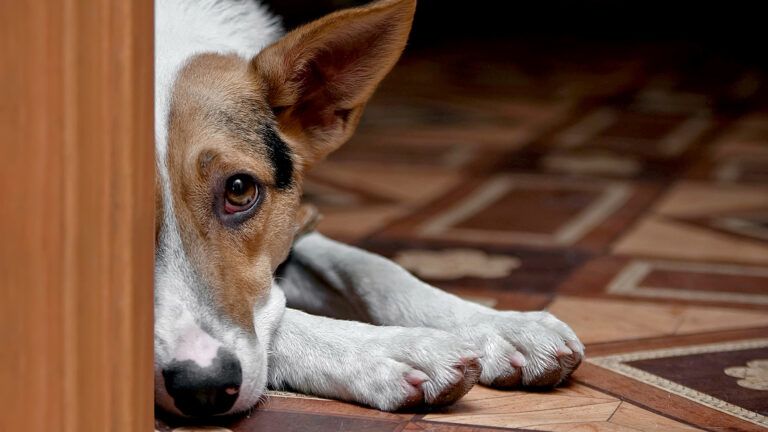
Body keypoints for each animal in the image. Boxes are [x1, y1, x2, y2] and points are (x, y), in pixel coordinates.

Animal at [156, 0, 584, 418]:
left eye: (240, 190)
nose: (204, 388)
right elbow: (282, 321)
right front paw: (389, 350)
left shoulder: (297, 226)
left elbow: (372, 268)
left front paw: (499, 324)